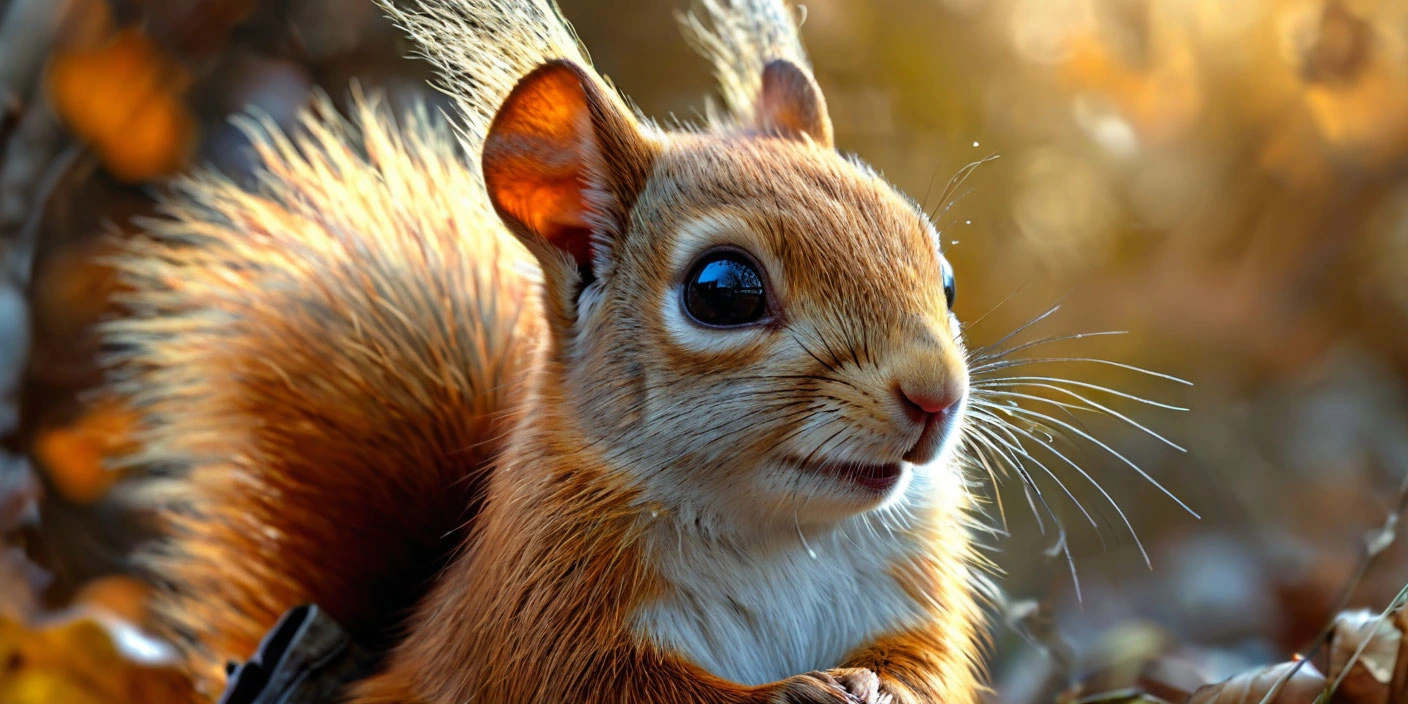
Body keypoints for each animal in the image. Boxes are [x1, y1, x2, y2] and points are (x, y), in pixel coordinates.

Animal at [104, 0, 989, 702]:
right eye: (723, 290)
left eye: (945, 278)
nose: (935, 395)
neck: (775, 535)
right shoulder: (538, 613)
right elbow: (610, 687)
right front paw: (792, 692)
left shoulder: (910, 594)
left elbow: (929, 664)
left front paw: (888, 687)